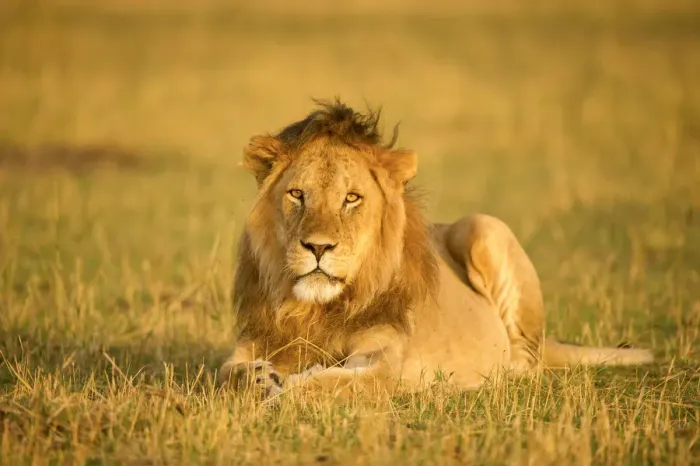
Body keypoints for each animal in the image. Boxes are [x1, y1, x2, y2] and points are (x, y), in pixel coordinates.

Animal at [219, 100, 653, 399]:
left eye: (351, 198)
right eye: (297, 194)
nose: (318, 247)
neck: (317, 308)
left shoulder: (385, 363)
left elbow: (331, 384)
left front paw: (285, 388)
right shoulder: (255, 341)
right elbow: (227, 374)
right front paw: (261, 378)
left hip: (483, 227)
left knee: (525, 361)